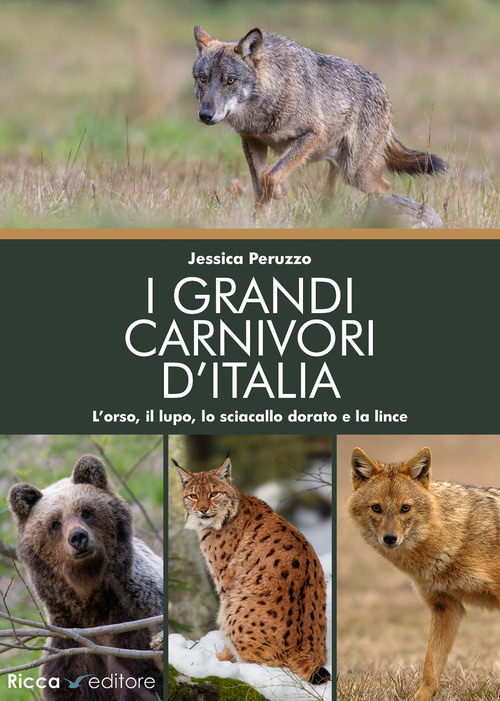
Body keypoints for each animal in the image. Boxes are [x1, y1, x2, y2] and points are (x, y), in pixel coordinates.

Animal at [8, 454, 163, 701]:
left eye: (86, 511)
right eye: (55, 523)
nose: (78, 537)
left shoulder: (137, 623)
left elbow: (143, 679)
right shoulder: (70, 643)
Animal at [192, 26, 445, 206]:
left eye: (230, 80)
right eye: (203, 78)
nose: (205, 115)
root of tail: (384, 91)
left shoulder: (312, 134)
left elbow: (270, 176)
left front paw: (278, 192)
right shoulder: (252, 141)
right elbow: (260, 184)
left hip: (356, 173)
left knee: (385, 187)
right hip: (340, 167)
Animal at [347, 446, 500, 701]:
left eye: (405, 508)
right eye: (376, 508)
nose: (390, 538)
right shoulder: (445, 607)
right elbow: (430, 665)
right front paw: (421, 696)